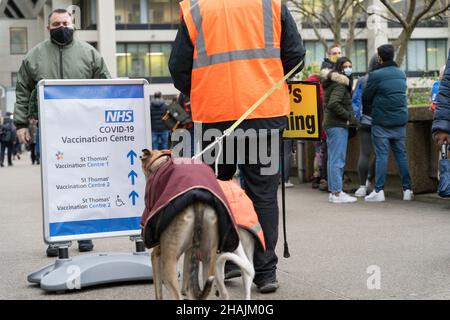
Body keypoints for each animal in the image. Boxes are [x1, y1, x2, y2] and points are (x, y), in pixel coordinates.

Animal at [140, 150, 219, 300]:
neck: (160, 163)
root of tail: (198, 203)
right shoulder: (190, 251)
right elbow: (187, 279)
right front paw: (186, 291)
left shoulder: (156, 255)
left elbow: (158, 292)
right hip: (208, 260)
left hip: (168, 266)